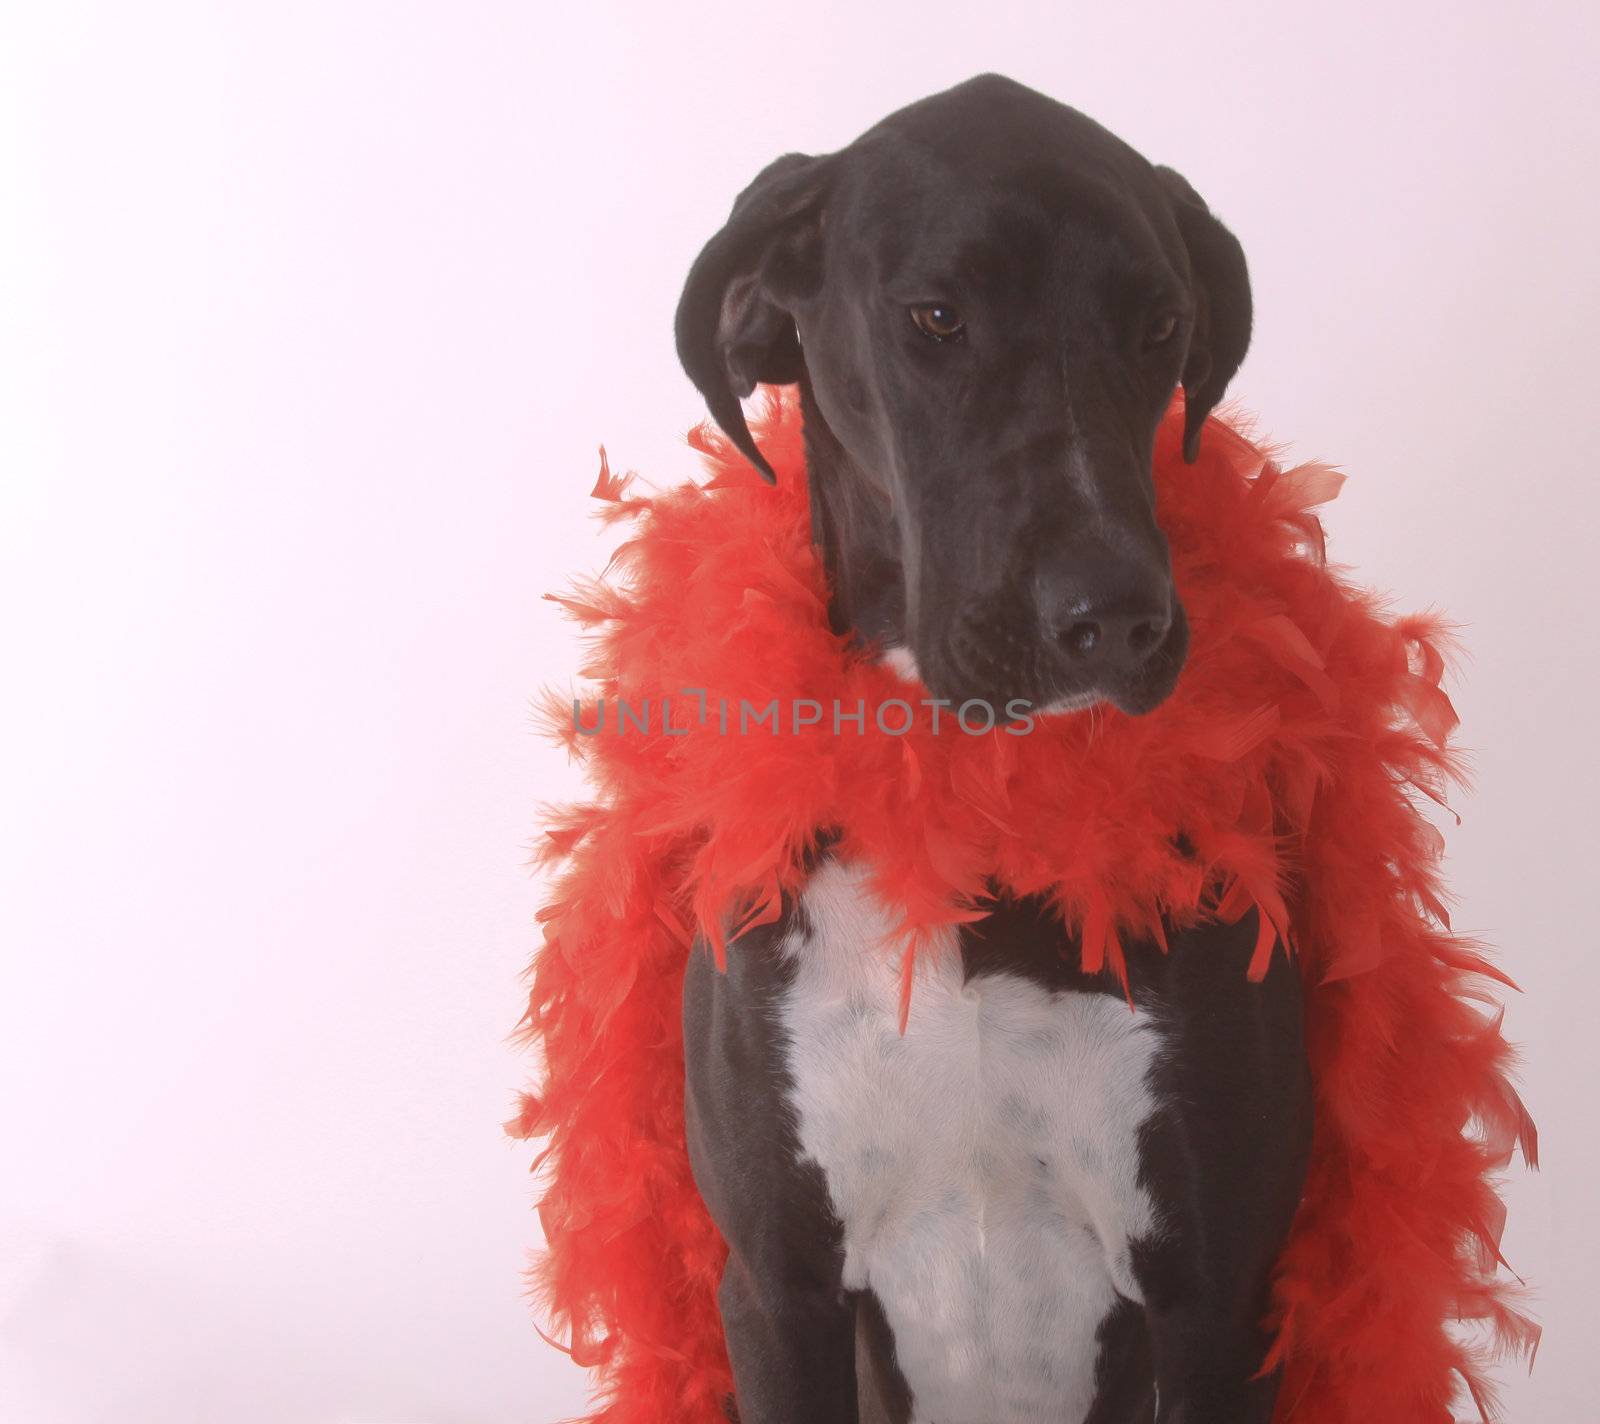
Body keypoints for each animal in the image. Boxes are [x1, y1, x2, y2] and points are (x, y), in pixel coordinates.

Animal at [668, 74, 1305, 1420]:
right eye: (935, 316)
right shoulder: (775, 1288)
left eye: (1160, 324)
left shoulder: (1220, 1299)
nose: (1113, 615)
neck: (968, 799)